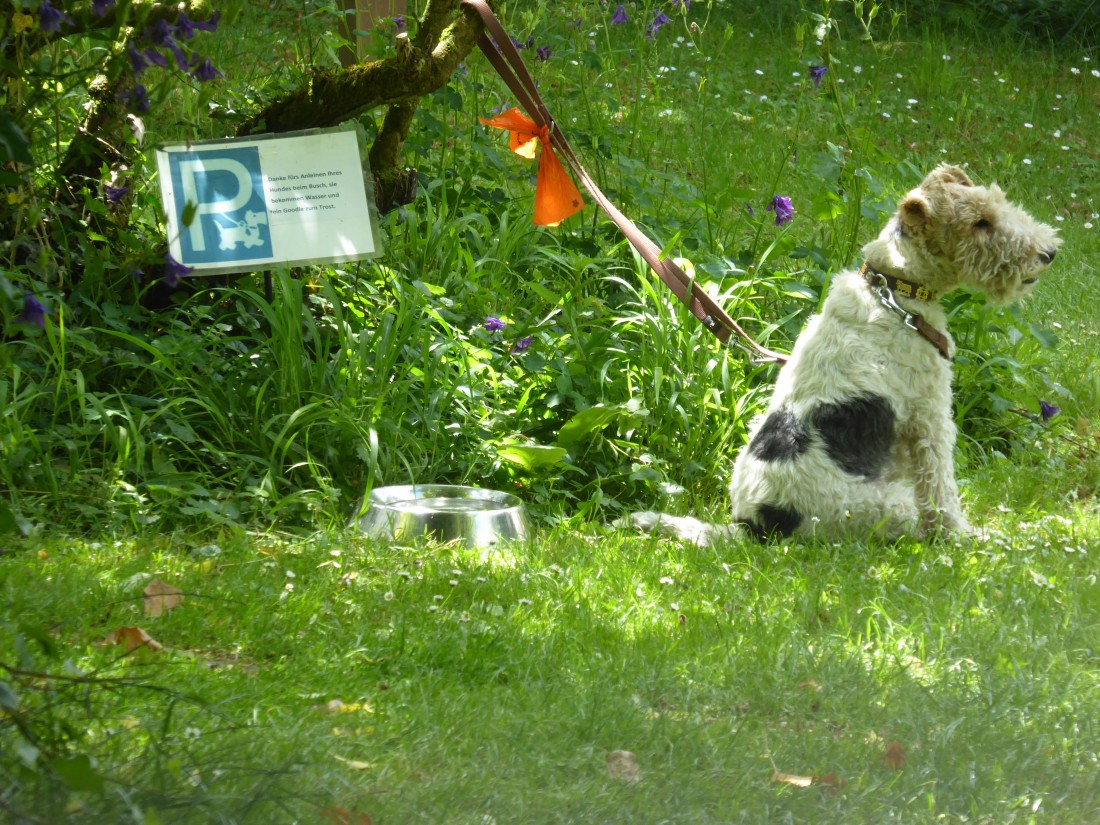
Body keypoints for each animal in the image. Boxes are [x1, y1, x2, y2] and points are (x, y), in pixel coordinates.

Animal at [629, 164, 1061, 545]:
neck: (894, 290)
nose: (1049, 252)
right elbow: (941, 491)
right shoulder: (930, 416)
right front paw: (967, 537)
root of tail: (755, 526)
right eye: (980, 222)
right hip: (892, 506)